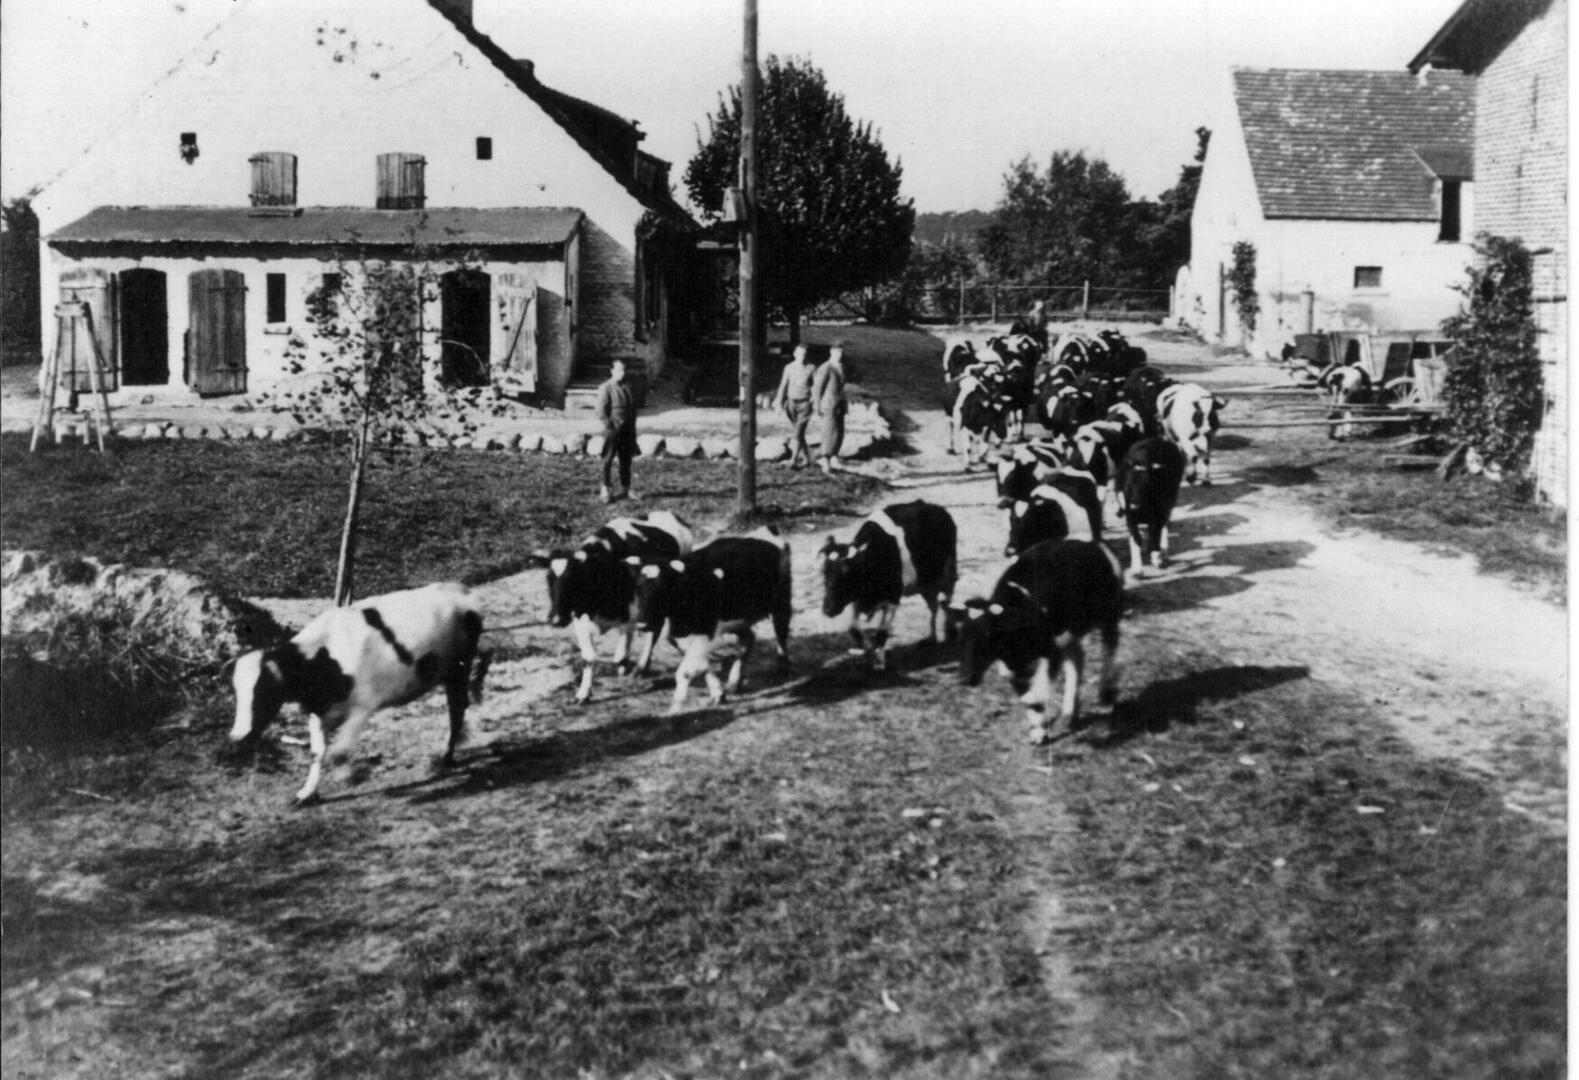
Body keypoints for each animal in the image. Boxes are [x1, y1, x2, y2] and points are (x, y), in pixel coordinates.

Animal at [228, 581, 486, 802]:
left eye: (263, 690)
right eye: (237, 693)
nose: (236, 737)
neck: (324, 658)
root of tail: (462, 589)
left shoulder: (363, 706)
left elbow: (339, 752)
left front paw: (348, 776)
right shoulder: (318, 710)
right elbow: (317, 752)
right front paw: (307, 793)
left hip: (459, 668)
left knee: (457, 709)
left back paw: (446, 757)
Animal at [543, 511, 691, 704]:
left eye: (573, 581)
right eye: (549, 581)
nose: (556, 619)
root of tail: (668, 513)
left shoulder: (630, 615)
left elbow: (620, 655)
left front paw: (624, 666)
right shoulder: (580, 619)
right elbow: (589, 657)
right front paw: (583, 693)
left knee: (655, 629)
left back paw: (641, 668)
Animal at [634, 527, 795, 713]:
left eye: (662, 590)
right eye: (638, 589)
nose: (642, 624)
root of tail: (766, 532)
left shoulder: (707, 630)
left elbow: (686, 671)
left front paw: (675, 707)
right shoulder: (684, 634)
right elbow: (702, 663)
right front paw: (718, 692)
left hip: (781, 602)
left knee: (781, 633)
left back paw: (783, 668)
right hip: (738, 619)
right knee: (748, 640)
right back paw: (735, 681)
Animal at [821, 502, 953, 669]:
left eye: (847, 573)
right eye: (824, 571)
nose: (828, 609)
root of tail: (936, 507)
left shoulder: (893, 597)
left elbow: (882, 633)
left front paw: (879, 662)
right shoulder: (858, 599)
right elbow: (854, 630)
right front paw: (869, 652)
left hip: (946, 573)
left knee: (947, 601)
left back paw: (950, 634)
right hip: (924, 583)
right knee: (934, 606)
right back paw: (931, 639)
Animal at [947, 536, 1124, 745]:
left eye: (988, 635)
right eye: (960, 638)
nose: (965, 678)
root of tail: (1092, 542)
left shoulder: (1051, 649)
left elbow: (1037, 693)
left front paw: (1039, 725)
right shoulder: (1016, 662)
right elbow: (1022, 689)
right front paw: (1038, 731)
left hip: (1109, 614)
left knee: (1109, 647)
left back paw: (1106, 692)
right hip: (1069, 635)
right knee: (1077, 661)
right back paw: (1068, 715)